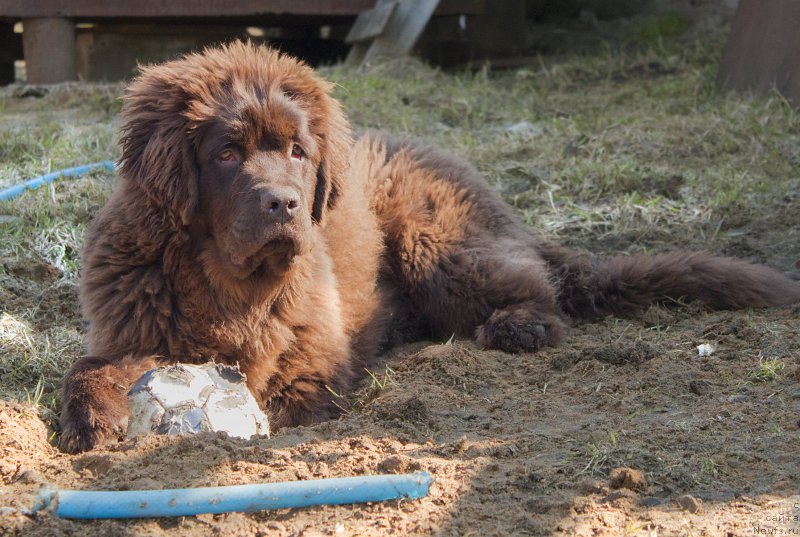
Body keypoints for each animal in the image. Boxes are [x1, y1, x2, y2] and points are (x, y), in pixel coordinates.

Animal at [57, 43, 800, 452]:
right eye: (226, 153)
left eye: (297, 151)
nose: (286, 204)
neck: (226, 281)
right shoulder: (129, 328)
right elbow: (91, 369)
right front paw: (92, 423)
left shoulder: (309, 358)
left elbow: (271, 389)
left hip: (435, 245)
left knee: (537, 286)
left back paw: (519, 325)